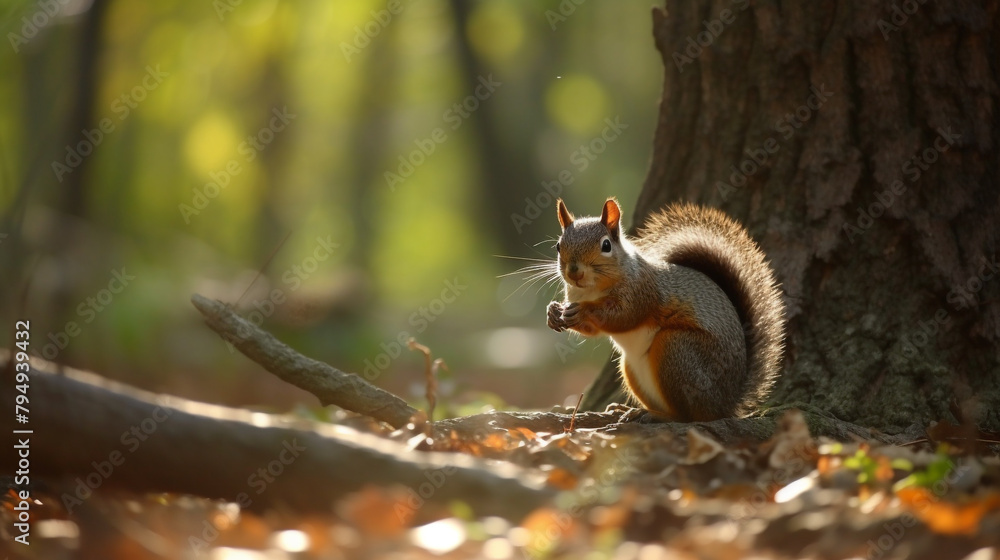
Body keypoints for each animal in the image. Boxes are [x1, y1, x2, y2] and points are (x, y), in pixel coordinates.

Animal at [548, 197, 780, 420]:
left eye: (606, 245)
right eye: (558, 245)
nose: (574, 272)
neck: (591, 290)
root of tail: (728, 404)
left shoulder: (642, 292)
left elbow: (623, 317)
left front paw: (583, 311)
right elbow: (592, 331)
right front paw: (553, 312)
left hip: (676, 349)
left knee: (687, 417)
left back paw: (655, 415)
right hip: (631, 368)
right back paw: (625, 409)